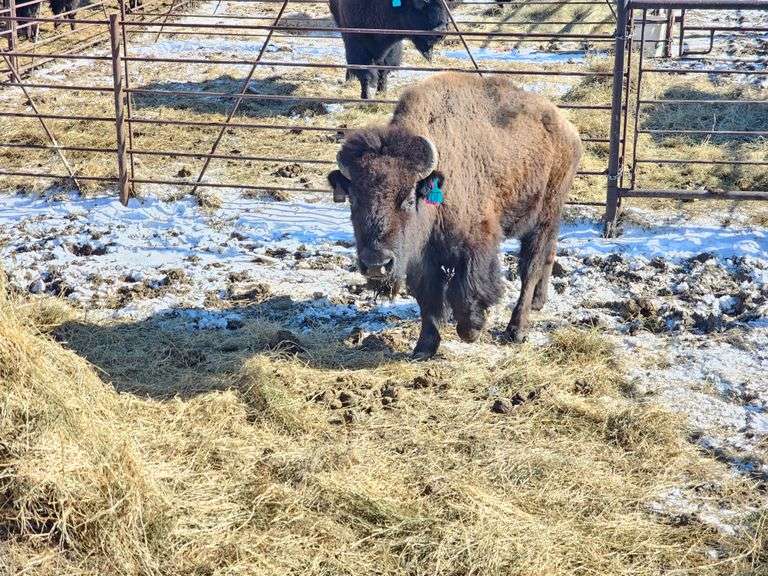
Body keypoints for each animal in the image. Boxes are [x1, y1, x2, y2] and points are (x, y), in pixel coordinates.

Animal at [327, 73, 582, 359]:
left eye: (409, 198)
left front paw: (472, 330)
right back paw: (539, 302)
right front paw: (423, 348)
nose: (376, 264)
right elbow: (428, 300)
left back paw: (516, 330)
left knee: (531, 267)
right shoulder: (422, 259)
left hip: (545, 215)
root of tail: (567, 129)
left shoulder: (475, 244)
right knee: (548, 254)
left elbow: (468, 290)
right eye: (353, 198)